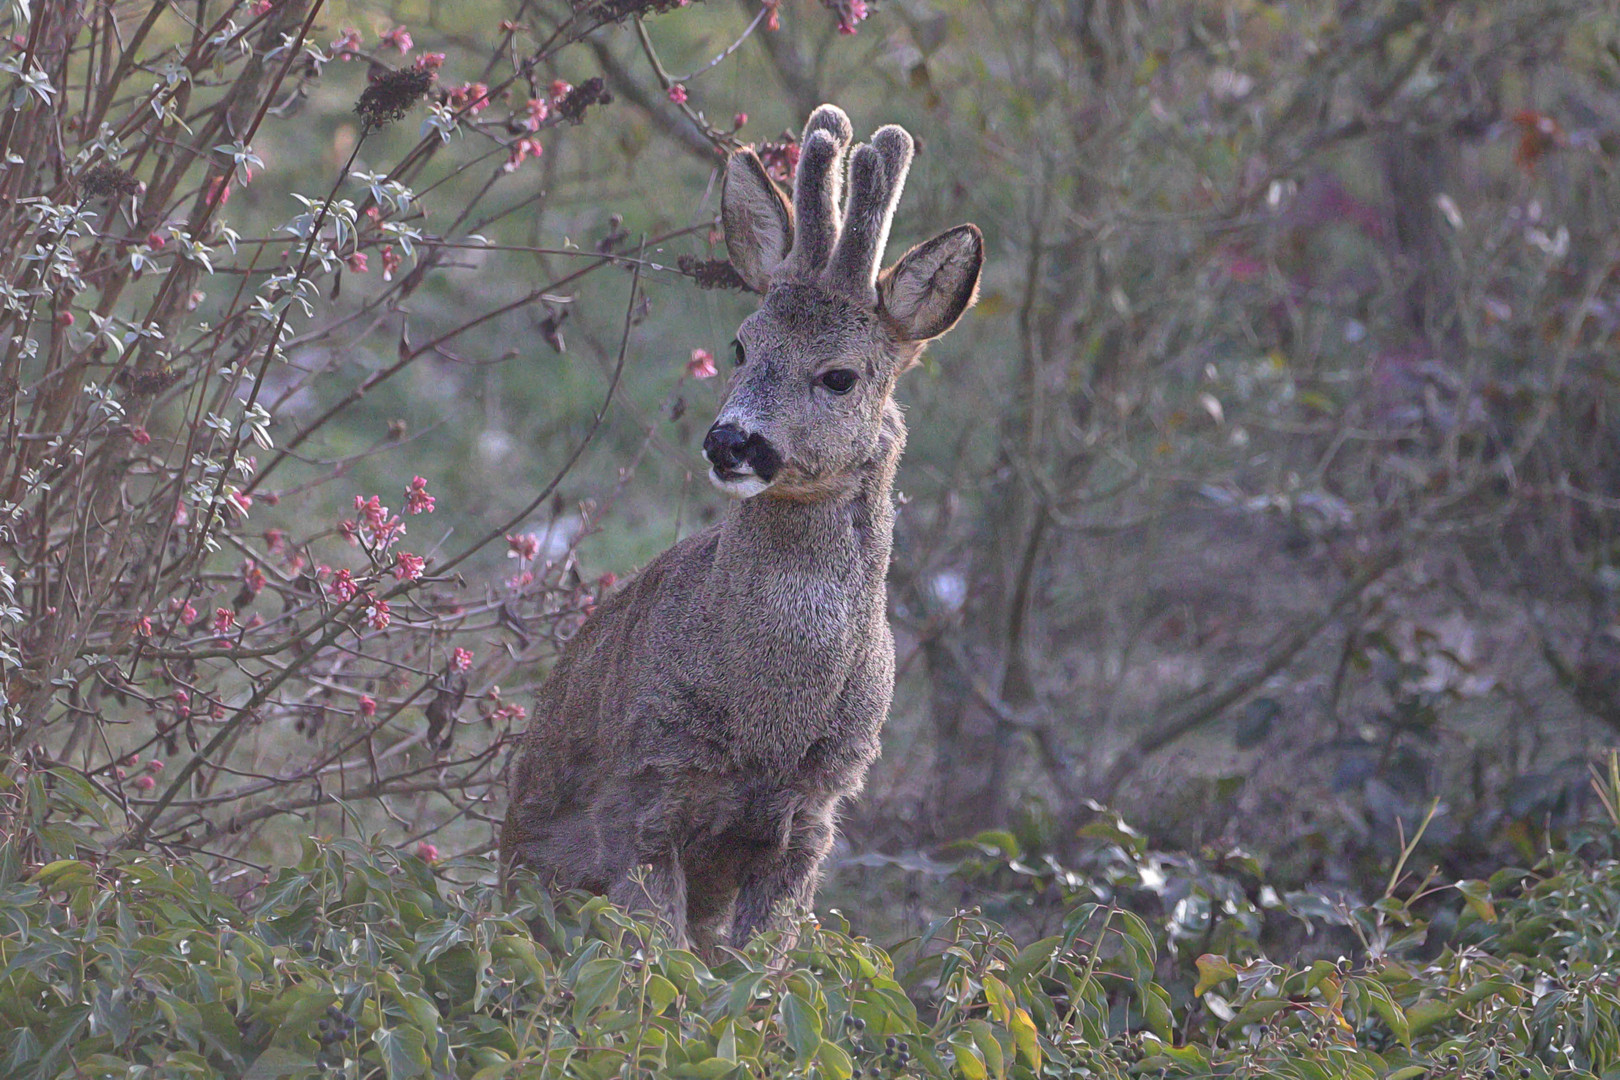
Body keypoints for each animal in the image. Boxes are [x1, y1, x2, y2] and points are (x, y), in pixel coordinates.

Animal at [502, 101, 984, 945]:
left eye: (839, 376)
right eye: (740, 343)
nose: (730, 441)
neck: (768, 724)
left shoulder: (816, 812)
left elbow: (763, 967)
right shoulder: (648, 788)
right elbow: (657, 956)